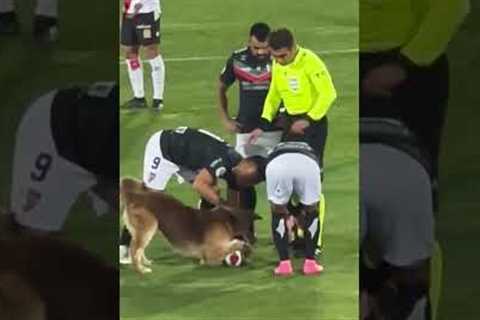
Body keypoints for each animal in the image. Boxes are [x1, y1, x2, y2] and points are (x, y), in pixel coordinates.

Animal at [119, 176, 256, 274]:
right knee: (134, 250)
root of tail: (135, 195)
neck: (227, 219)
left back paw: (145, 263)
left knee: (139, 249)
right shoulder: (211, 252)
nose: (255, 240)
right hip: (149, 226)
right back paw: (140, 269)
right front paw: (243, 247)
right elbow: (233, 245)